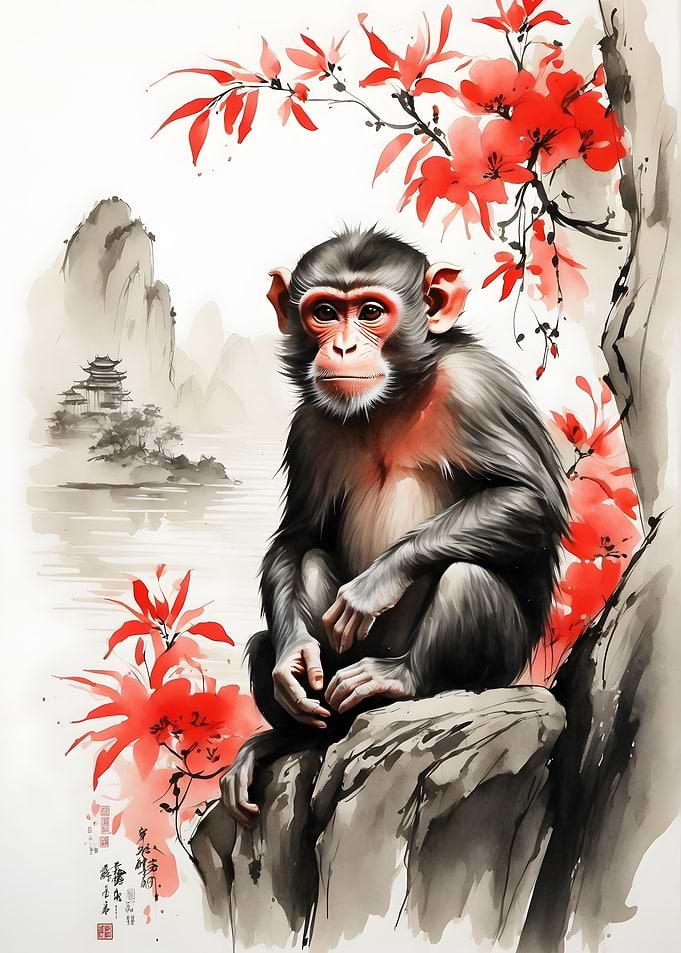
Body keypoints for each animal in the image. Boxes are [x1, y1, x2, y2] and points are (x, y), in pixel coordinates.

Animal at [220, 227, 569, 827]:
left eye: (371, 312)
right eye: (326, 312)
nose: (342, 348)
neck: (394, 396)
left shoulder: (480, 390)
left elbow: (529, 499)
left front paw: (374, 584)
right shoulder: (308, 427)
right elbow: (298, 539)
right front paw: (293, 661)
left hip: (494, 669)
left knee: (466, 577)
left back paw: (400, 678)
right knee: (309, 572)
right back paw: (287, 737)